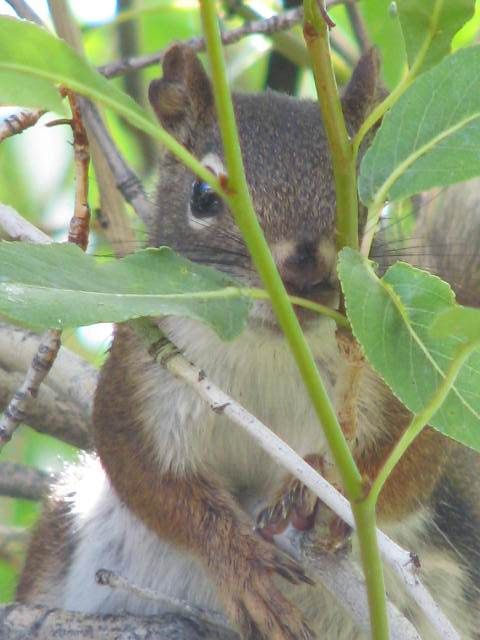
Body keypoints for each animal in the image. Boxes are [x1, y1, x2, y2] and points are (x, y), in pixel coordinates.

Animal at [16, 44, 480, 639]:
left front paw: (323, 486)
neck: (270, 351)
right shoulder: (139, 377)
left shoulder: (393, 384)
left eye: (361, 200)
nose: (304, 269)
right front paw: (239, 564)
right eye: (202, 196)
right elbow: (150, 480)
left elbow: (407, 467)